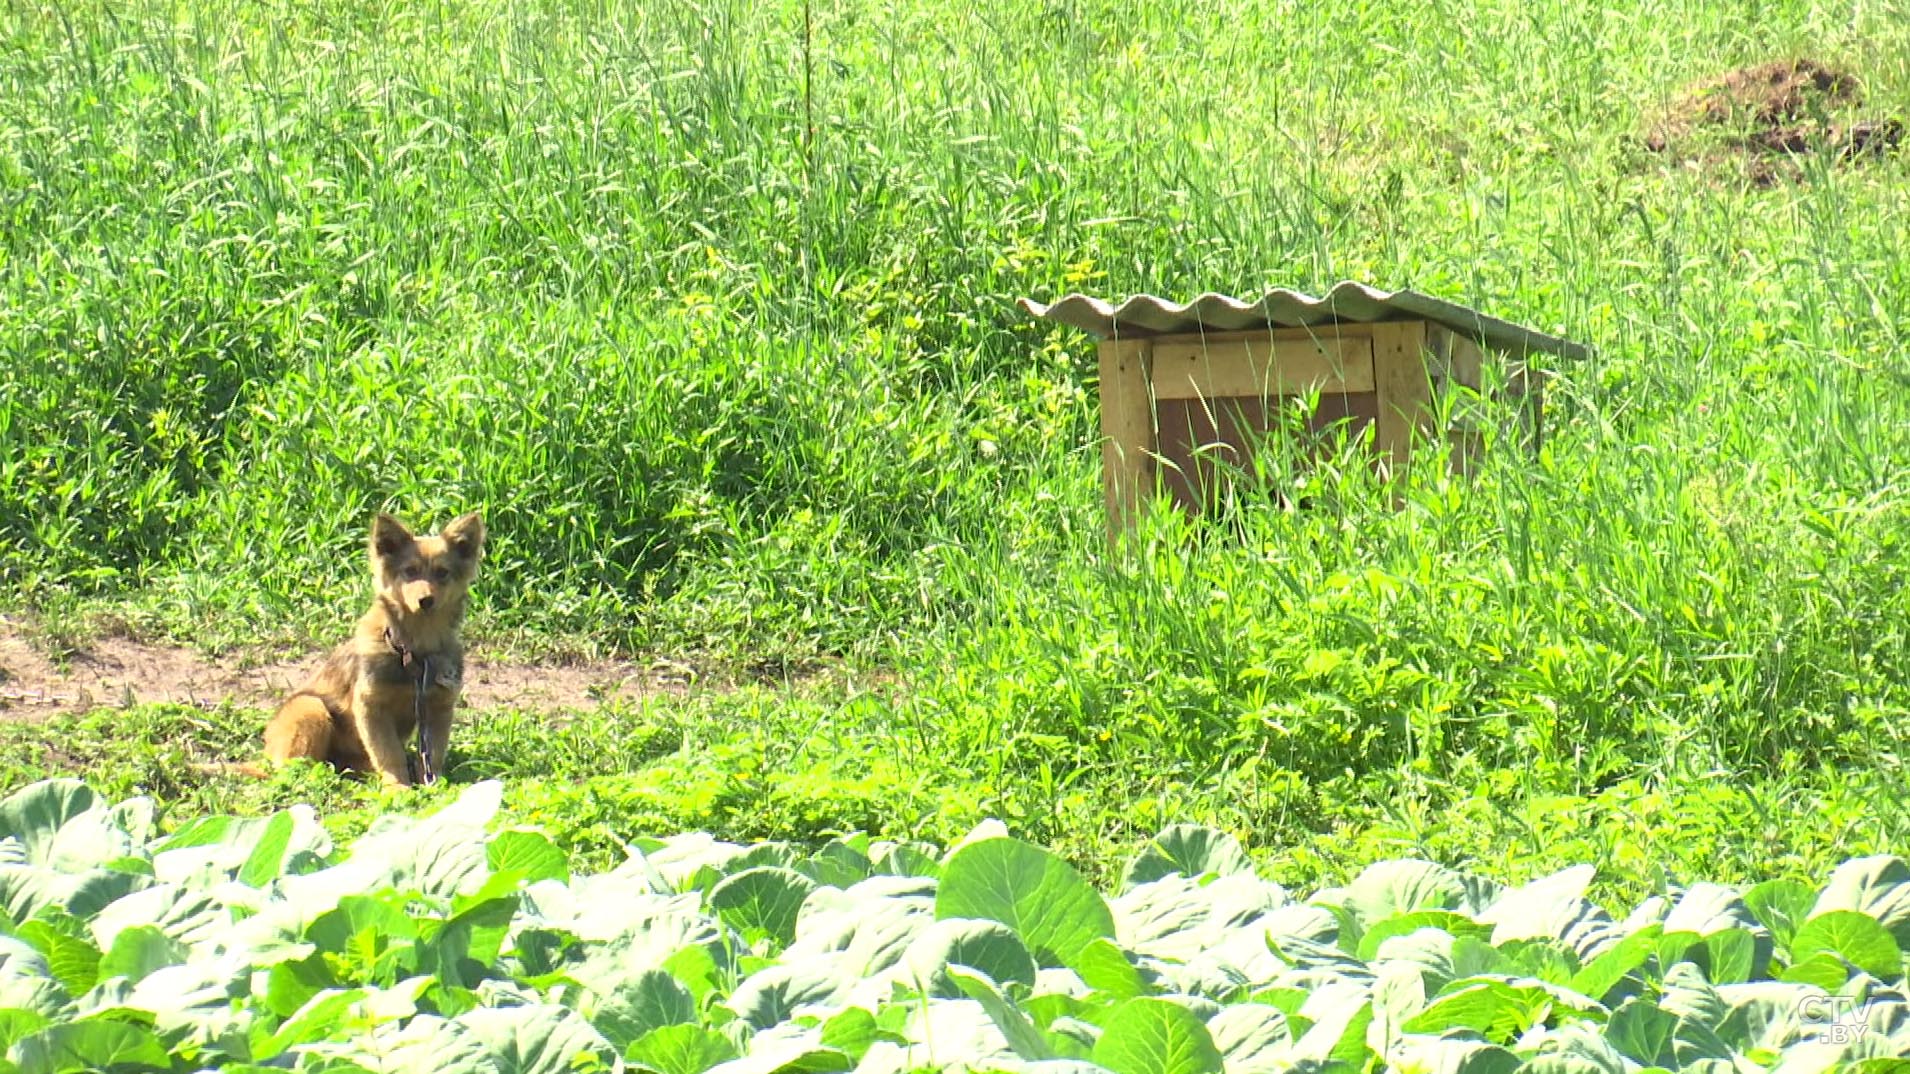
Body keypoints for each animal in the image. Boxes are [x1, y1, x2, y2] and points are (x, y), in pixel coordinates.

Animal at [259, 504, 485, 783]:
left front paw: (432, 783)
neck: (414, 648)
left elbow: (432, 754)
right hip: (310, 707)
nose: (425, 600)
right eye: (410, 571)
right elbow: (389, 754)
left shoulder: (438, 706)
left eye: (442, 573)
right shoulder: (371, 706)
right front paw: (397, 785)